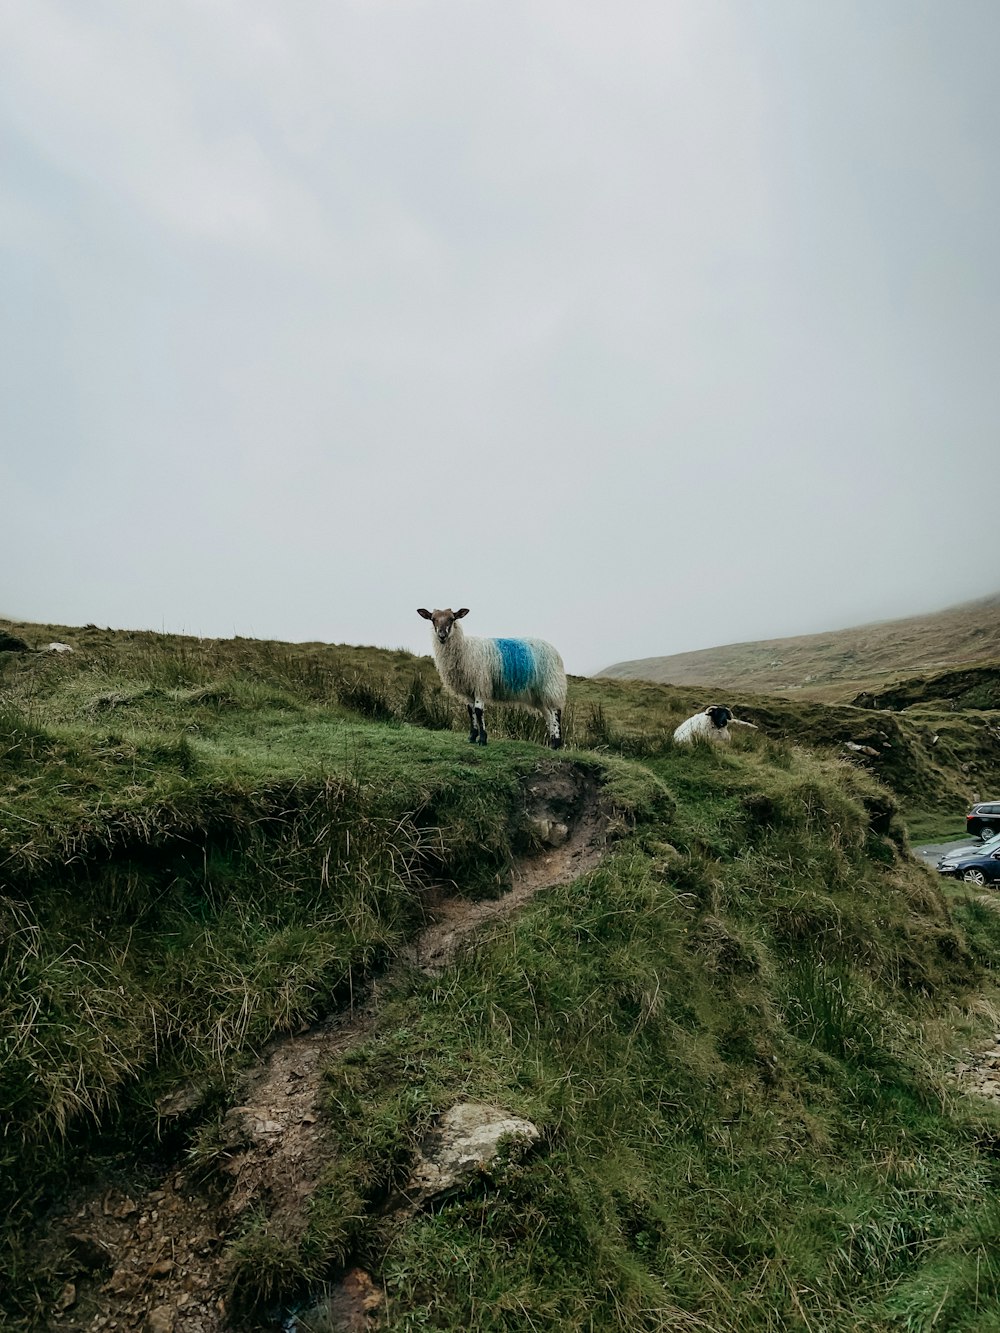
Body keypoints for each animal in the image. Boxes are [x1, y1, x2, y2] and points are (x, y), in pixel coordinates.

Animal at [416, 607, 570, 751]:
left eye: (452, 619)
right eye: (433, 619)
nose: (442, 635)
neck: (465, 649)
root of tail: (554, 650)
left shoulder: (480, 683)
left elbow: (478, 711)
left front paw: (483, 739)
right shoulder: (468, 689)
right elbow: (470, 710)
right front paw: (472, 736)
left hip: (551, 684)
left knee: (556, 711)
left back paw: (557, 743)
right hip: (537, 694)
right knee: (548, 715)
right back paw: (551, 743)